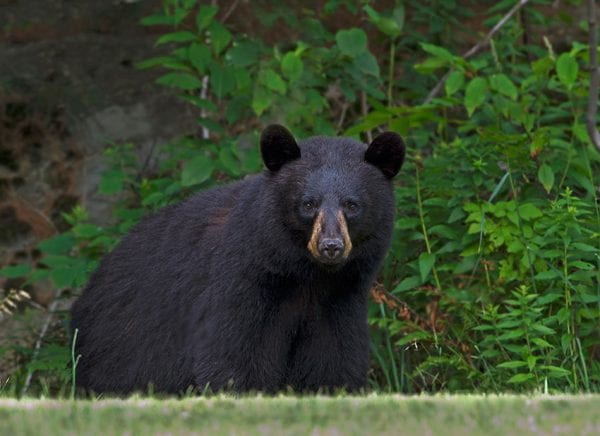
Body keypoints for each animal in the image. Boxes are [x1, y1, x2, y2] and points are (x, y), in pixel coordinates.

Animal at [71, 124, 408, 394]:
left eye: (351, 205)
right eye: (308, 203)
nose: (331, 246)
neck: (305, 276)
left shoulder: (340, 296)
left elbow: (334, 355)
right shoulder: (241, 280)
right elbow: (233, 351)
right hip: (122, 343)